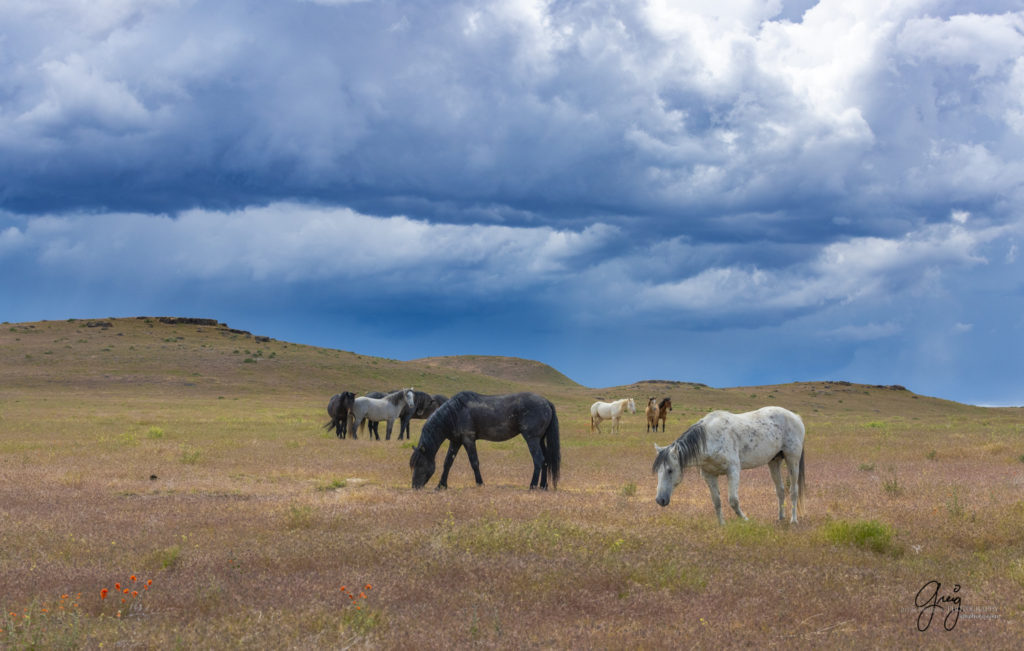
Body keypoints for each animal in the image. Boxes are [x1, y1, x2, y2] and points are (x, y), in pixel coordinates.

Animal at [409, 388, 561, 491]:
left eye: (420, 463)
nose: (415, 486)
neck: (455, 413)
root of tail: (546, 402)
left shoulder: (468, 440)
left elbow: (474, 462)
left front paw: (480, 484)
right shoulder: (456, 441)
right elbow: (448, 463)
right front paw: (441, 485)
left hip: (532, 439)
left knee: (538, 460)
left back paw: (532, 486)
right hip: (540, 440)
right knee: (546, 461)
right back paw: (543, 486)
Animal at [651, 407, 802, 524]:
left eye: (670, 470)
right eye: (658, 471)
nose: (660, 500)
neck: (710, 438)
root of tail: (796, 417)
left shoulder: (733, 471)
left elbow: (733, 501)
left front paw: (746, 520)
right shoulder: (709, 476)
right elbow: (717, 502)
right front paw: (722, 525)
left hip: (792, 460)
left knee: (794, 490)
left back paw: (793, 520)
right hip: (774, 462)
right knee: (780, 490)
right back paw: (780, 518)